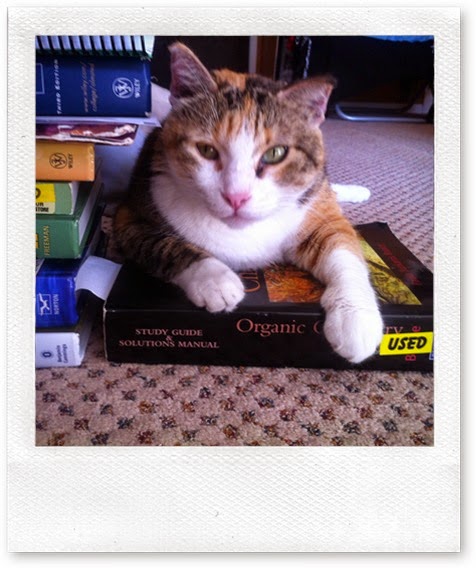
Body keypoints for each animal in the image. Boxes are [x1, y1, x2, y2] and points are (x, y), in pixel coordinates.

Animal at [113, 42, 383, 363]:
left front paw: (356, 319)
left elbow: (343, 245)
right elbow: (165, 245)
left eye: (276, 153)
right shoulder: (130, 215)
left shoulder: (316, 215)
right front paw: (216, 280)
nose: (236, 196)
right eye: (206, 150)